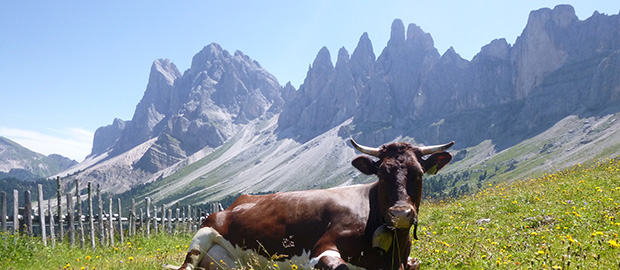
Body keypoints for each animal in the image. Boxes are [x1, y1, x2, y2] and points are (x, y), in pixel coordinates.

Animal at [174, 139, 456, 270]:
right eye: (382, 173)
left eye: (418, 173)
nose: (400, 213)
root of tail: (239, 200)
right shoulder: (321, 249)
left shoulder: (408, 261)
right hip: (201, 236)